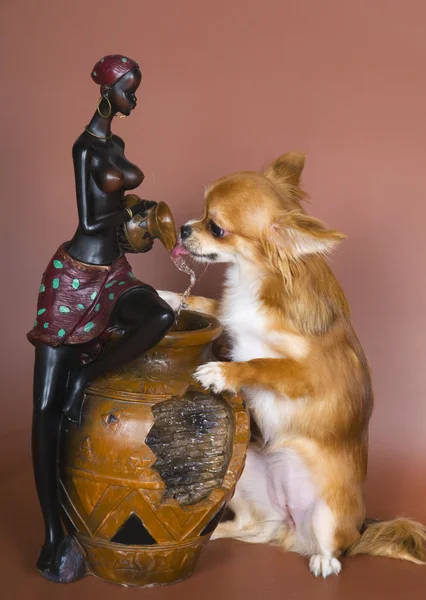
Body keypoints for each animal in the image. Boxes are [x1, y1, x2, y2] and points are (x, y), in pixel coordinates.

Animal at [158, 154, 424, 576]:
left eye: (215, 227)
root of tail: (289, 525)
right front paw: (167, 296)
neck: (254, 278)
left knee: (335, 547)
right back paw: (212, 534)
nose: (183, 229)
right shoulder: (233, 319)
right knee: (252, 526)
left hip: (329, 515)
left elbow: (262, 363)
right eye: (199, 213)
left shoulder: (310, 376)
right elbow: (211, 306)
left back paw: (323, 561)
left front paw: (222, 372)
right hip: (243, 472)